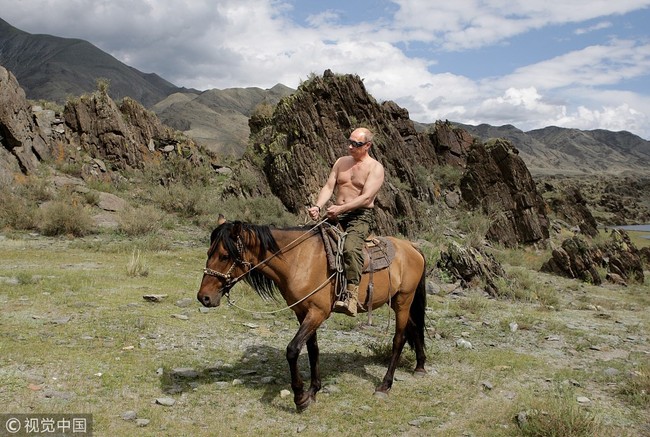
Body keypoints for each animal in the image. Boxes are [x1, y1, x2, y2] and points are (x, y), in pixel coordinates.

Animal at [195, 216, 426, 410]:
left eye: (224, 256)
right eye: (208, 253)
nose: (203, 297)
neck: (298, 260)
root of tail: (411, 247)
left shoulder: (318, 312)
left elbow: (293, 349)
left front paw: (300, 397)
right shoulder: (302, 312)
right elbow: (312, 349)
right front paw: (313, 390)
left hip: (403, 300)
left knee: (398, 339)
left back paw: (385, 385)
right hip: (400, 302)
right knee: (414, 327)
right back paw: (420, 366)